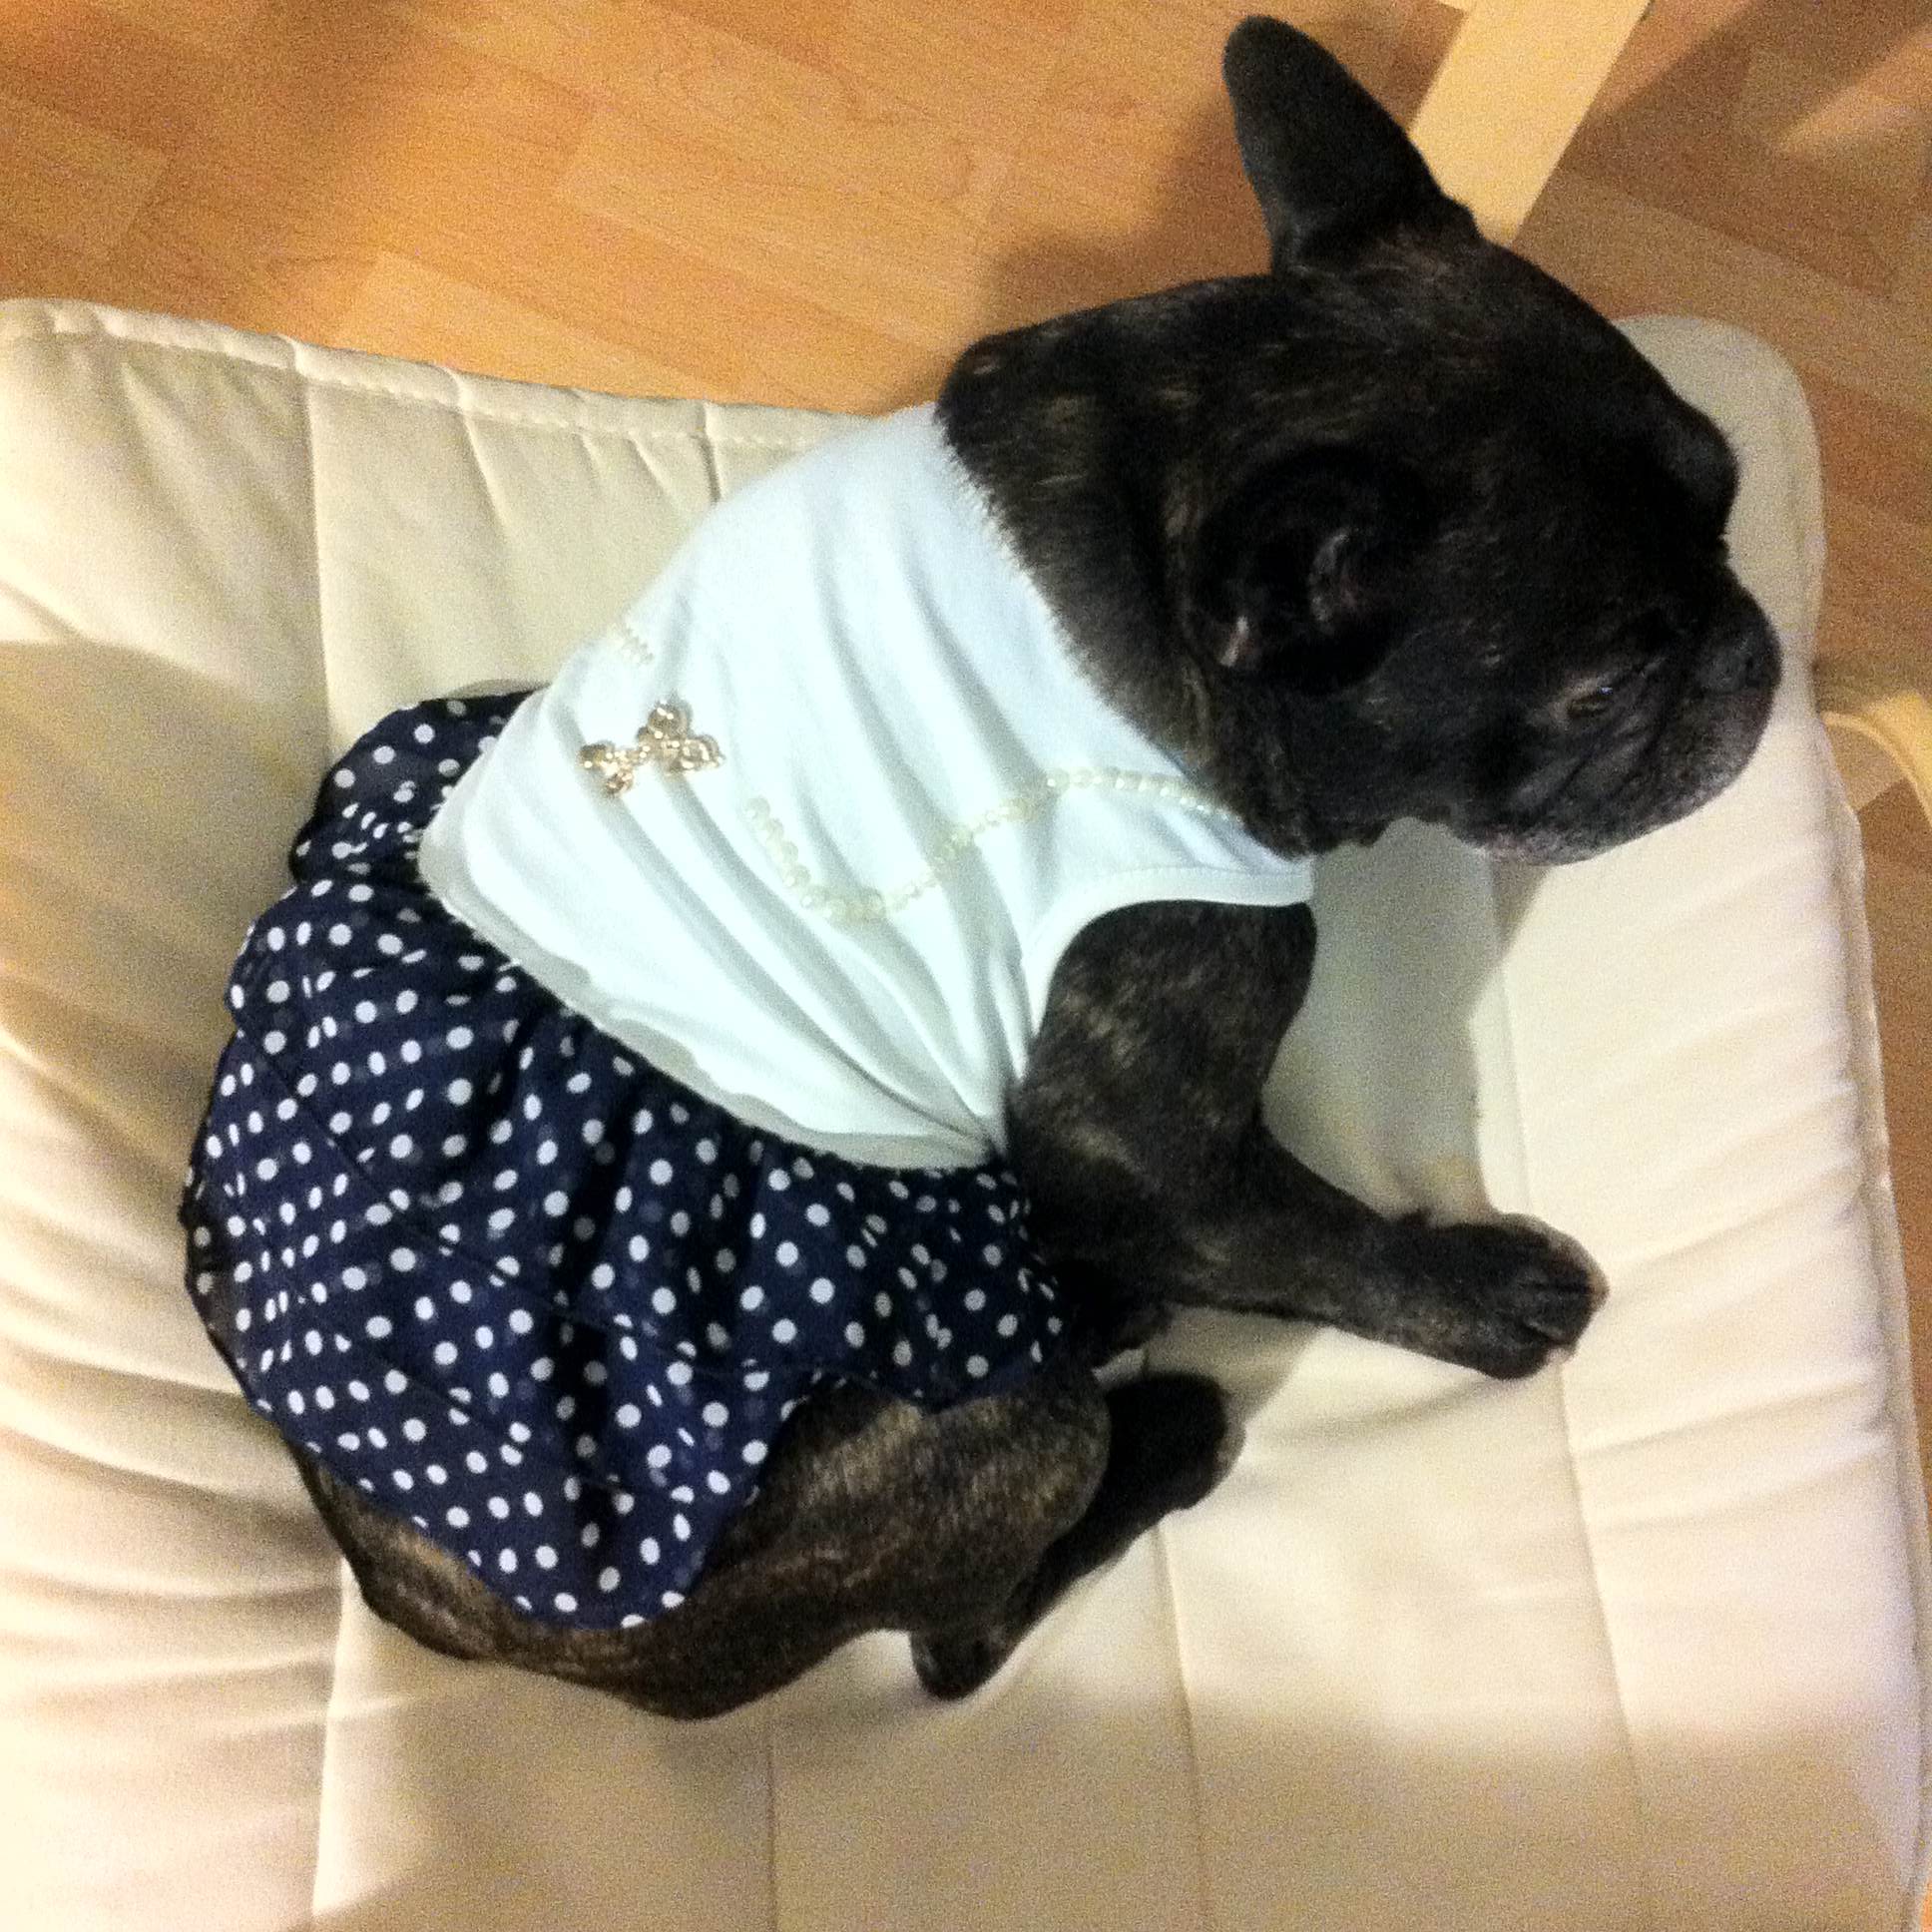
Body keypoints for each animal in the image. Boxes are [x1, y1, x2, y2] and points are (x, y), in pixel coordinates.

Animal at [187, 17, 1778, 1719]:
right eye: (1603, 687)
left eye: (1729, 496)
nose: (1753, 655)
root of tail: (462, 1625)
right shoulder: (1146, 1139)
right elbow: (1320, 1237)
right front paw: (1483, 1296)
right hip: (1003, 1431)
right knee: (963, 1633)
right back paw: (1163, 1431)